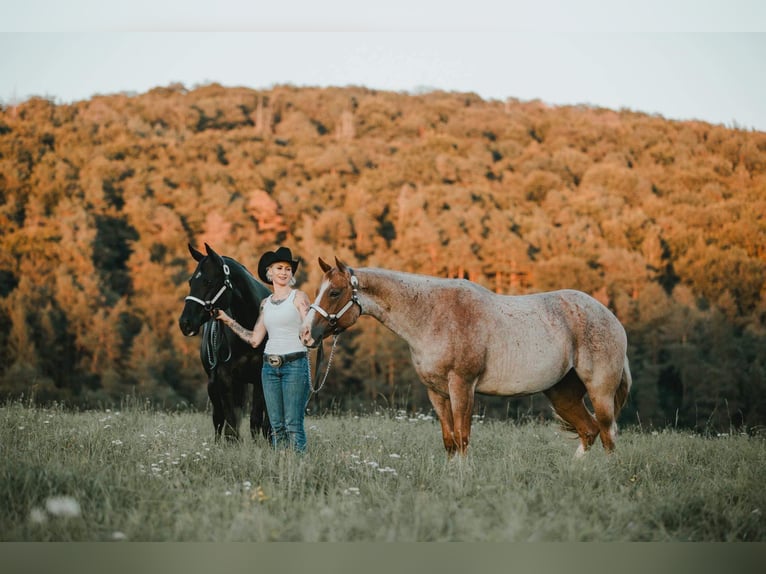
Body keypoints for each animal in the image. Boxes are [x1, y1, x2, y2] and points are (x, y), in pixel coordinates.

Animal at [178, 245, 272, 444]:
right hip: (214, 384)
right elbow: (230, 423)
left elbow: (258, 421)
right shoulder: (224, 377)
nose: (185, 323)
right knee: (219, 419)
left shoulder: (261, 377)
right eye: (190, 282)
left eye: (208, 281)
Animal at [304, 260, 632, 460]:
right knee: (589, 431)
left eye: (334, 292)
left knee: (608, 434)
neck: (433, 316)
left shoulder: (462, 386)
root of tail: (611, 318)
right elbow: (449, 440)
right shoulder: (436, 392)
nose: (306, 334)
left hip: (599, 391)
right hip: (562, 393)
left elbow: (462, 437)